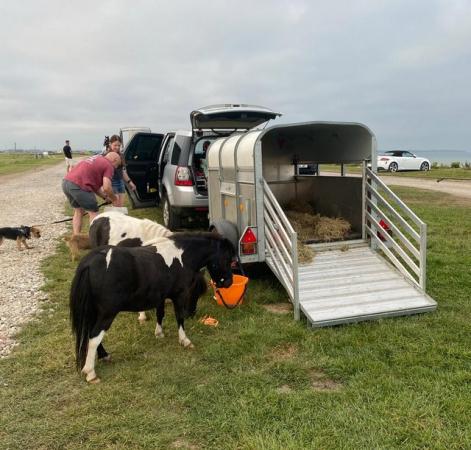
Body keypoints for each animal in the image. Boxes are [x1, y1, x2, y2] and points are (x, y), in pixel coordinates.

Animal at [70, 232, 236, 384]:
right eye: (228, 260)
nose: (229, 282)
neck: (181, 256)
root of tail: (90, 262)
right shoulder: (179, 295)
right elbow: (179, 317)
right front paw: (184, 340)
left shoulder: (161, 296)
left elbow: (160, 314)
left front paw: (159, 333)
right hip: (107, 313)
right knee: (94, 337)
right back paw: (90, 373)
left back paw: (104, 356)